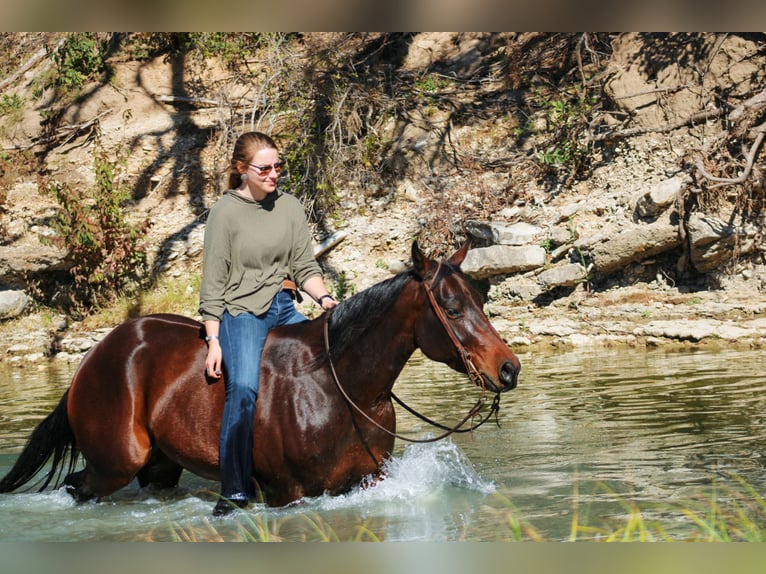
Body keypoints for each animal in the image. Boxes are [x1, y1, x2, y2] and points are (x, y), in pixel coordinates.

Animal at [0, 241, 520, 510]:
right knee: (78, 487)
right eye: (451, 308)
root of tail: (95, 356)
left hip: (159, 467)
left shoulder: (366, 482)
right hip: (115, 464)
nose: (508, 369)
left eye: (479, 300)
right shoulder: (287, 494)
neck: (340, 387)